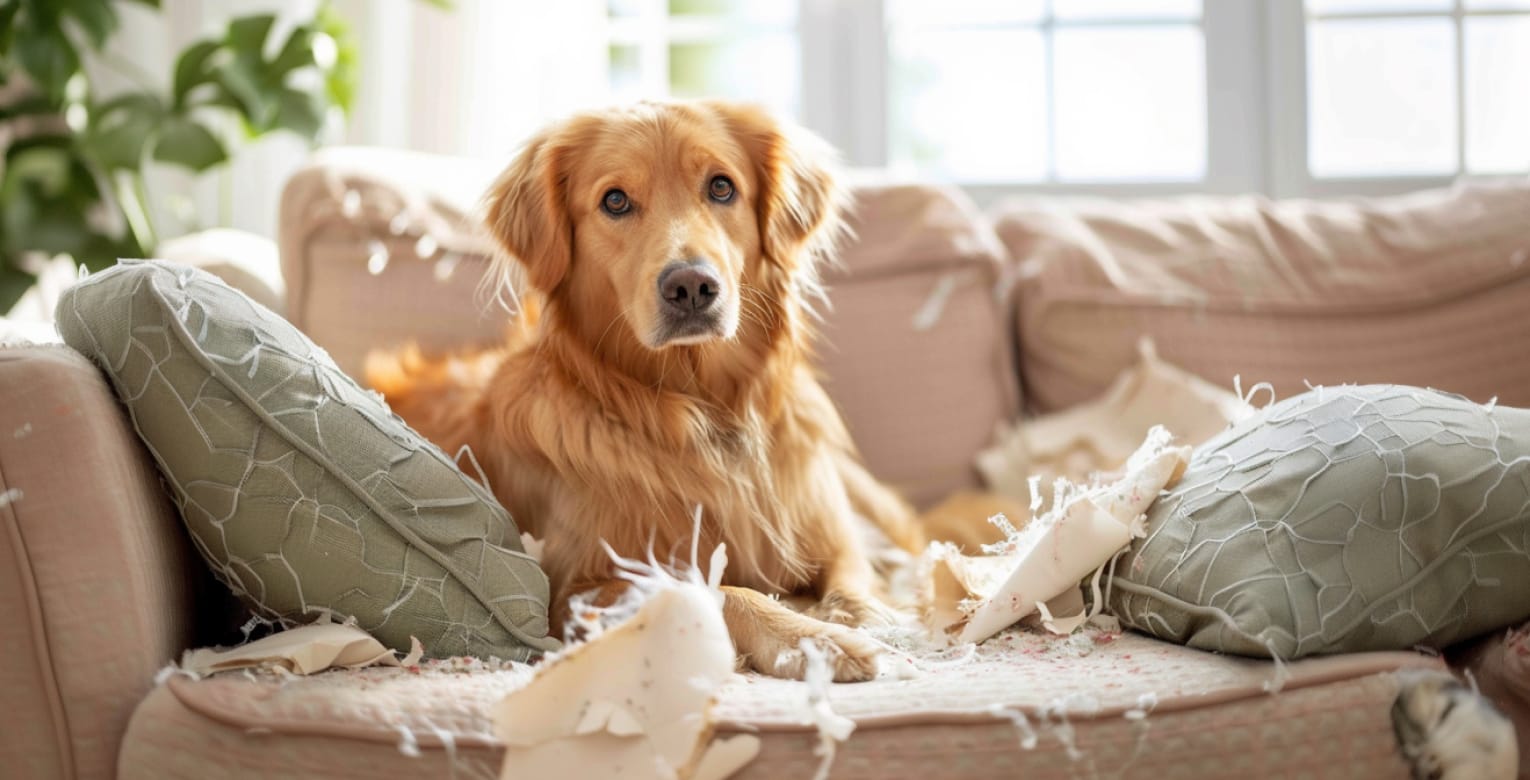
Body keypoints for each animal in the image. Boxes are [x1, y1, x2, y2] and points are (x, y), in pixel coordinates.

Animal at [368, 98, 918, 682]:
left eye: (721, 187)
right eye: (615, 200)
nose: (692, 286)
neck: (706, 411)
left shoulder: (835, 536)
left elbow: (853, 580)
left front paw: (863, 619)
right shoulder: (573, 592)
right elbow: (715, 589)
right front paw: (816, 639)